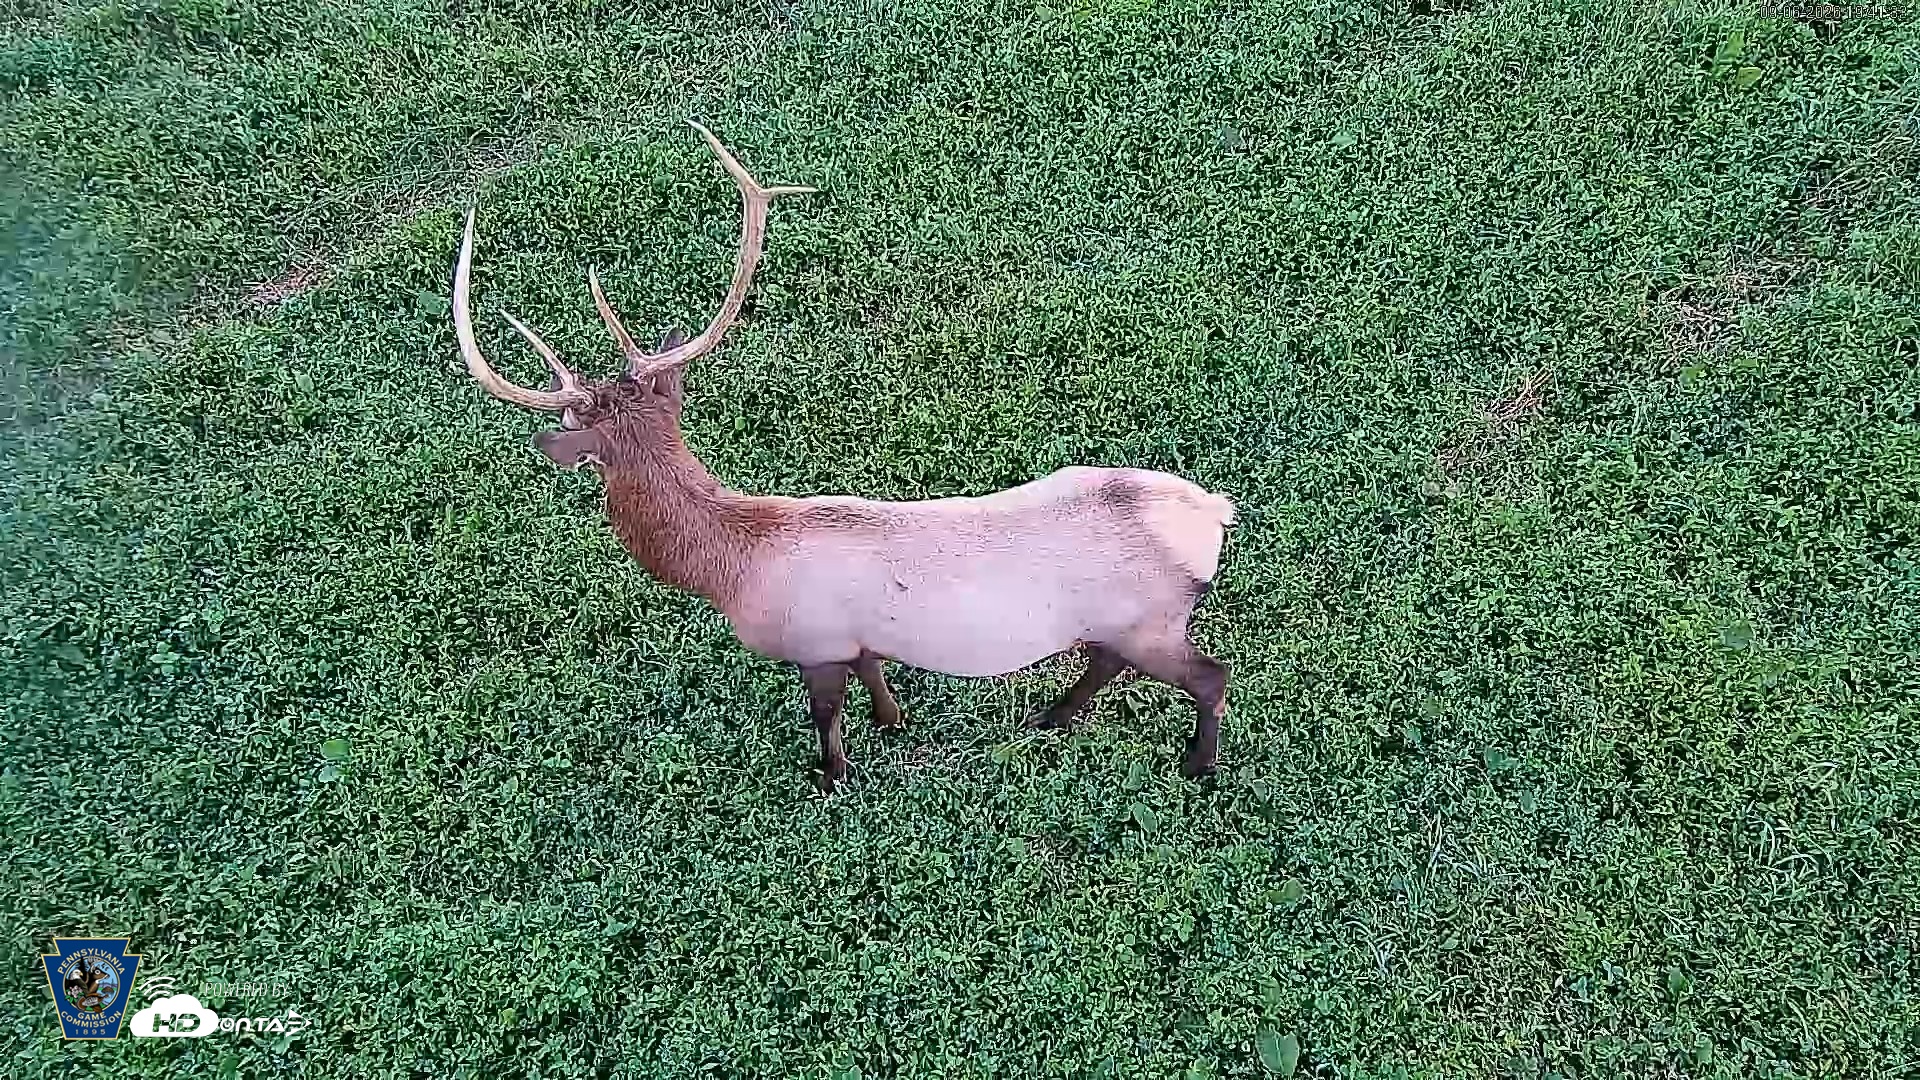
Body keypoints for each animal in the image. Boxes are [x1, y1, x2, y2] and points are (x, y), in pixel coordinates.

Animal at [450, 122, 1235, 792]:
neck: (730, 569)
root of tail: (1216, 516)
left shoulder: (814, 642)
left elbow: (825, 713)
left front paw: (832, 775)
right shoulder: (855, 640)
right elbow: (876, 675)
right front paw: (893, 722)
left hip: (1150, 617)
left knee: (1210, 674)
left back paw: (1197, 764)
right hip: (1122, 622)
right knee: (1107, 661)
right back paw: (1052, 716)